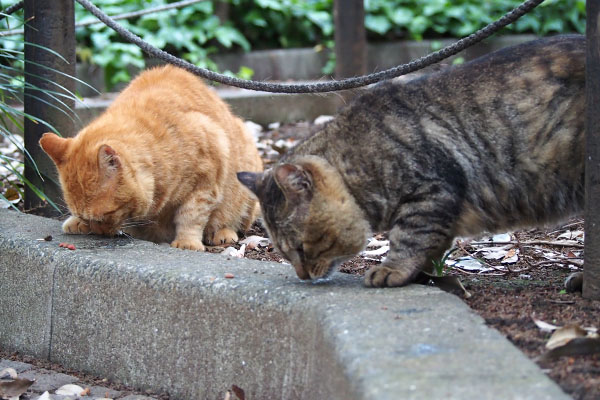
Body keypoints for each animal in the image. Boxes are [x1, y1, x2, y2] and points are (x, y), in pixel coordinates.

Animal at [38, 64, 262, 250]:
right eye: (85, 216)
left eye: (103, 217)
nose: (99, 233)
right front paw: (77, 222)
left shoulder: (206, 180)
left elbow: (191, 215)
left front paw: (187, 242)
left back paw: (222, 232)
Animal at [237, 33, 584, 284]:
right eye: (285, 253)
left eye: (299, 247)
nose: (303, 276)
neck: (361, 158)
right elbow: (433, 243)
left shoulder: (432, 190)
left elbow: (410, 236)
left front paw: (392, 269)